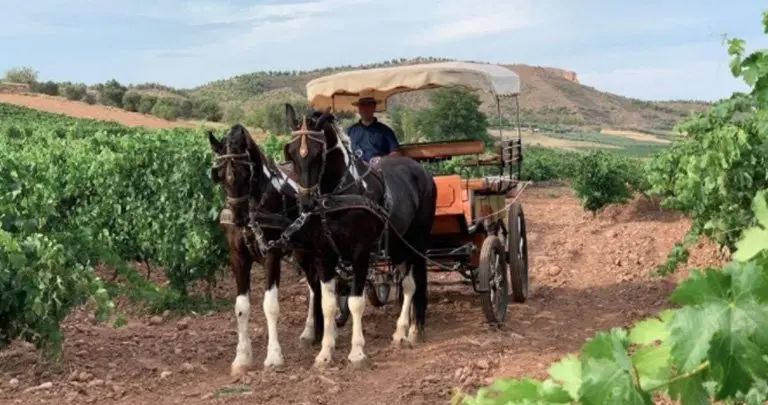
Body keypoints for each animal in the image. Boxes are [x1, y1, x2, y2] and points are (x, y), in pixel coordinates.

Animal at [207, 124, 320, 374]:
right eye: (220, 175)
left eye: (245, 172)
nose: (238, 218)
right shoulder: (238, 257)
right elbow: (241, 307)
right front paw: (242, 357)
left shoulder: (272, 254)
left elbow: (270, 306)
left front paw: (274, 356)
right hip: (301, 252)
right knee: (314, 286)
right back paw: (311, 331)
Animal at [284, 105, 438, 368]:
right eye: (291, 153)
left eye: (318, 153)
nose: (306, 202)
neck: (335, 195)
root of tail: (422, 171)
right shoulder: (324, 255)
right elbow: (328, 304)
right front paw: (325, 352)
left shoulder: (360, 252)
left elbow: (356, 301)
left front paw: (357, 352)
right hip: (397, 244)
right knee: (407, 283)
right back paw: (402, 331)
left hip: (416, 241)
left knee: (413, 284)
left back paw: (411, 331)